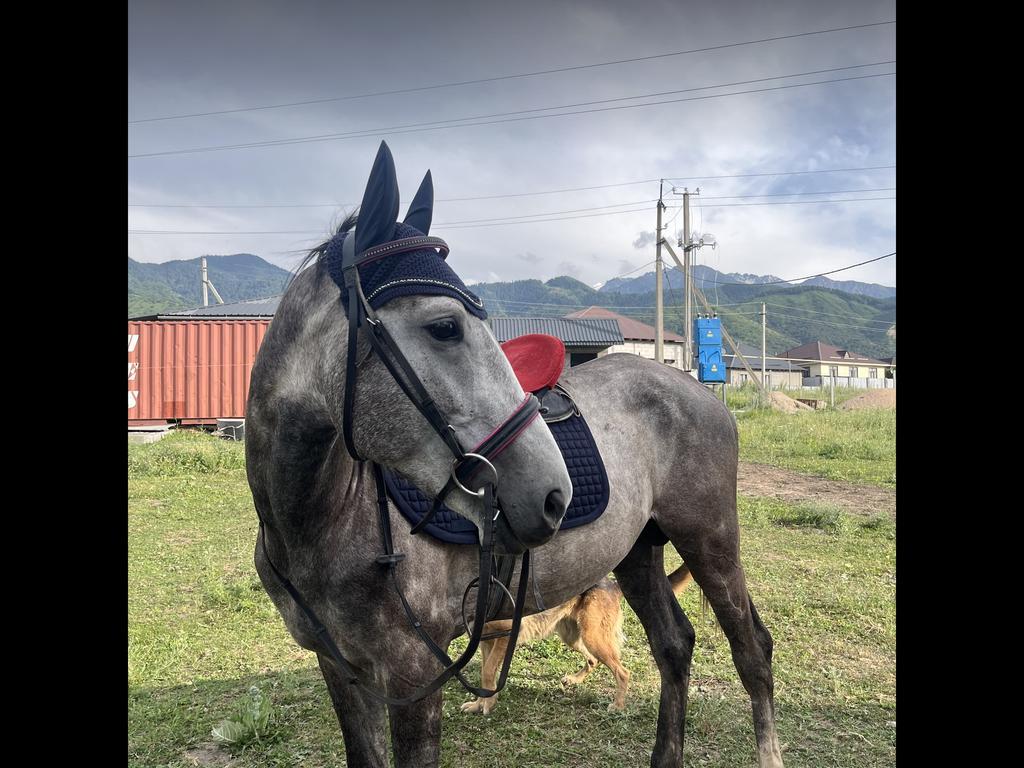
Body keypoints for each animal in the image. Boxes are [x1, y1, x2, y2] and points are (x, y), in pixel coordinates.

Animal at [246, 142, 784, 767]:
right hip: (636, 550)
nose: (554, 495)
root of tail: (698, 389)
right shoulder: (343, 671)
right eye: (444, 326)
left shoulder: (413, 676)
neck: (322, 519)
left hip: (710, 539)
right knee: (674, 644)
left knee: (752, 650)